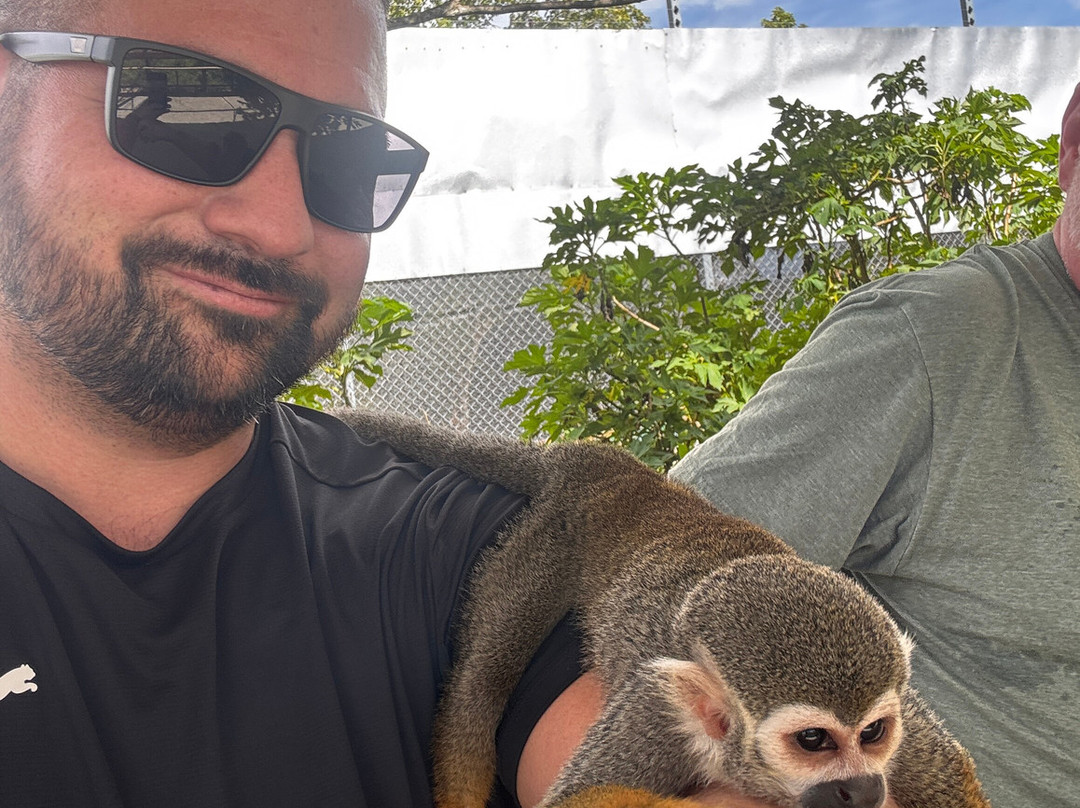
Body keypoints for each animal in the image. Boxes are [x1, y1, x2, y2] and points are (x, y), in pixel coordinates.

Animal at [331, 408, 989, 808]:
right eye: (814, 742)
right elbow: (579, 797)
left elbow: (950, 769)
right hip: (545, 539)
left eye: (873, 733)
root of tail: (610, 468)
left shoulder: (905, 723)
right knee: (480, 686)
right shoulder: (657, 712)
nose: (862, 789)